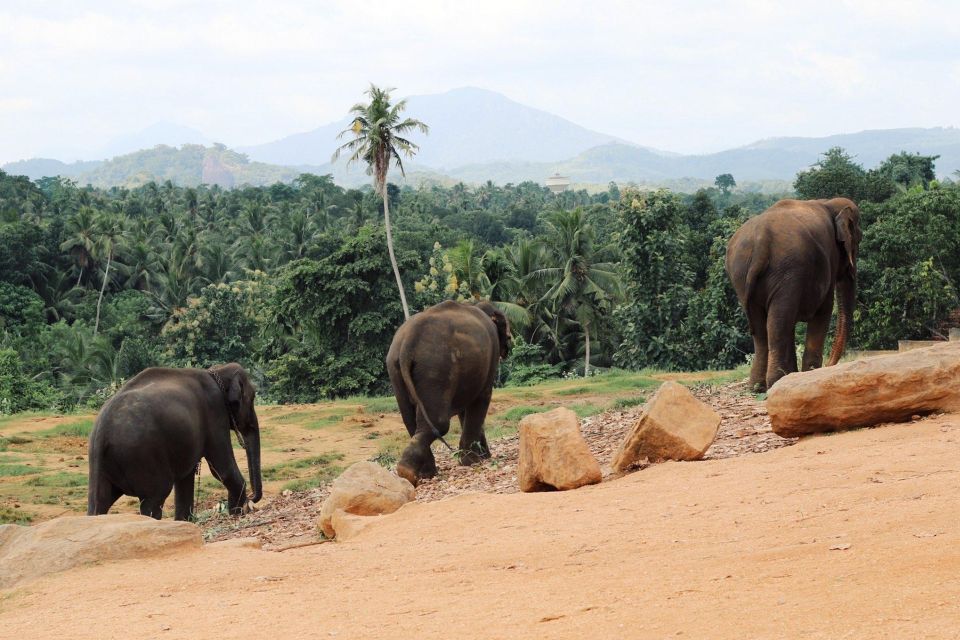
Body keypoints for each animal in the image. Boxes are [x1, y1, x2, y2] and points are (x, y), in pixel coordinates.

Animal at [87, 360, 262, 520]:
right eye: (253, 397)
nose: (251, 500)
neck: (215, 371)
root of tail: (101, 430)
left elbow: (187, 477)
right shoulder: (215, 411)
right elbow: (222, 468)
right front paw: (237, 513)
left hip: (103, 464)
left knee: (100, 503)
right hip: (143, 456)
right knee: (154, 498)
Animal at [388, 300, 512, 484]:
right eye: (508, 336)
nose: (509, 349)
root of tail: (407, 344)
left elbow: (465, 410)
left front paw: (481, 457)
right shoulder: (491, 357)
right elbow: (481, 398)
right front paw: (473, 461)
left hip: (395, 370)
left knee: (410, 421)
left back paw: (421, 473)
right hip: (436, 367)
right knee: (439, 423)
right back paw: (410, 472)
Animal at [728, 198, 864, 392]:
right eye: (859, 240)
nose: (829, 365)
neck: (828, 202)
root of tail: (761, 241)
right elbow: (824, 310)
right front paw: (810, 374)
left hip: (741, 275)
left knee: (764, 329)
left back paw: (758, 387)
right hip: (787, 272)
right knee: (778, 323)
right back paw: (775, 381)